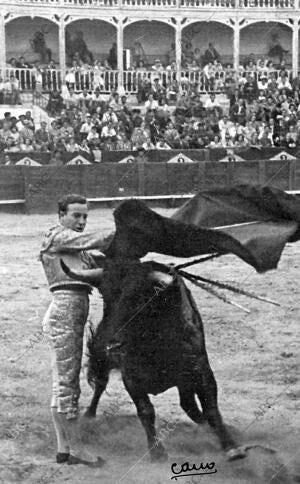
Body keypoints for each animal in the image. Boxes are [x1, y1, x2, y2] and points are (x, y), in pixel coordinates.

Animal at [61, 258, 246, 462]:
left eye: (143, 301)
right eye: (105, 297)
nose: (112, 343)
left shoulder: (201, 369)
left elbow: (211, 408)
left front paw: (232, 447)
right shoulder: (131, 377)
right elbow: (146, 411)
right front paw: (157, 452)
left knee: (189, 405)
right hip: (100, 355)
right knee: (101, 383)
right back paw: (89, 416)